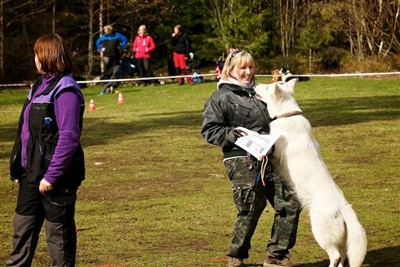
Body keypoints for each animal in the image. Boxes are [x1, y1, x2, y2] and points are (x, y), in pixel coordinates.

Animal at [255, 81, 368, 267]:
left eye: (267, 87)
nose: (255, 83)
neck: (288, 115)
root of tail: (343, 206)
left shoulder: (273, 151)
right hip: (339, 239)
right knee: (343, 256)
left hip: (320, 231)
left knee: (335, 255)